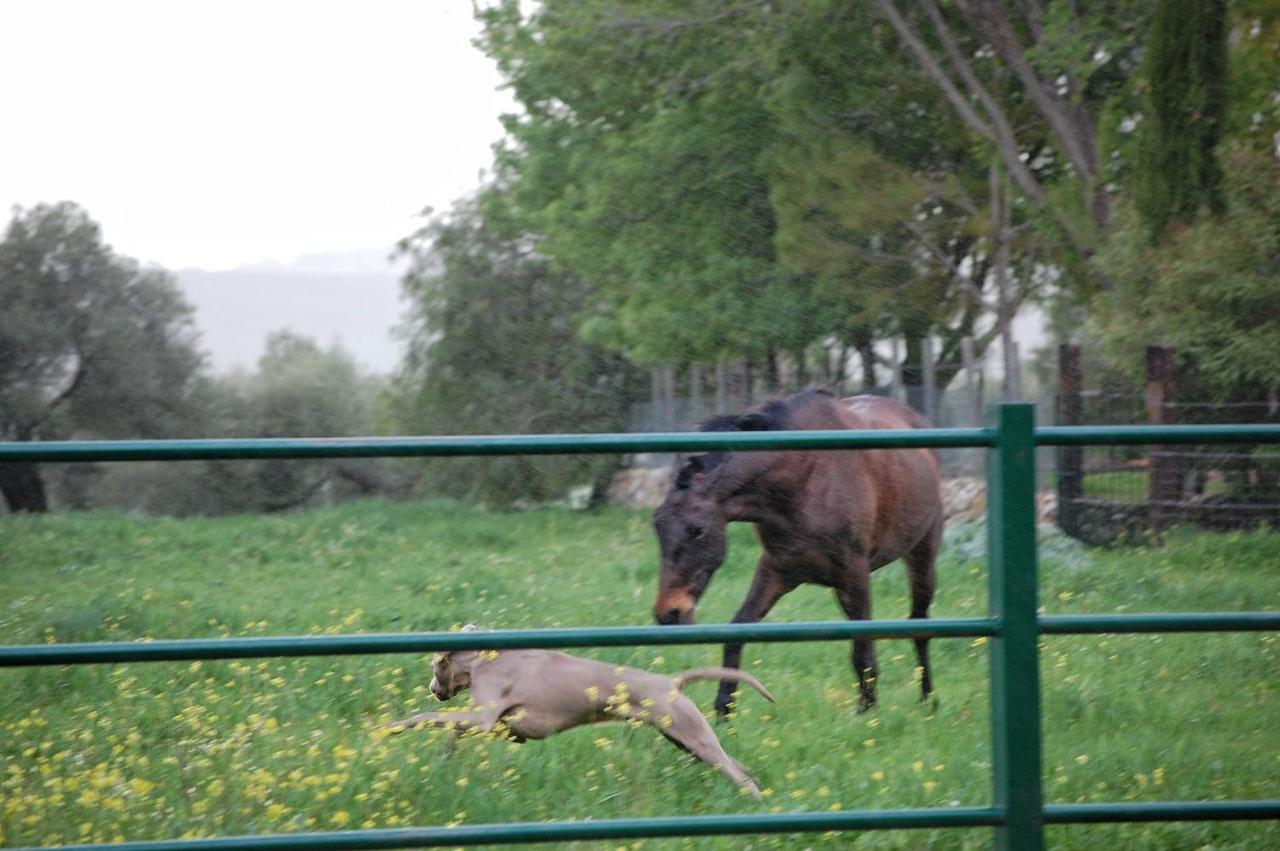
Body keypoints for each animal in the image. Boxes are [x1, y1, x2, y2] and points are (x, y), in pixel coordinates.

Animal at [650, 389, 942, 711]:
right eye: (657, 524)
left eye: (697, 530)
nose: (668, 613)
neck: (803, 479)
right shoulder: (778, 570)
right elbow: (736, 632)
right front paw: (724, 709)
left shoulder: (854, 572)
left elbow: (863, 654)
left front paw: (867, 714)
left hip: (922, 557)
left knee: (920, 624)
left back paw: (929, 700)